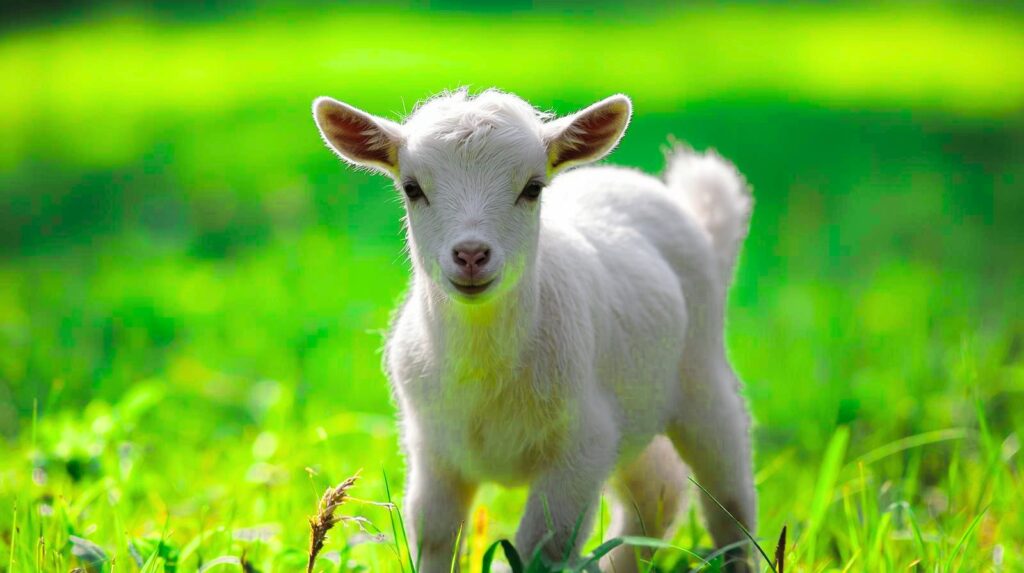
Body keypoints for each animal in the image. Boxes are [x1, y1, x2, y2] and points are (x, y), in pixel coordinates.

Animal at [312, 88, 756, 572]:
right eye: (413, 188)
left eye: (532, 188)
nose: (471, 254)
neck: (486, 369)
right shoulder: (432, 450)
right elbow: (436, 537)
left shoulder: (582, 447)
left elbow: (541, 548)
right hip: (639, 399)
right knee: (656, 490)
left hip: (702, 375)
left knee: (730, 496)